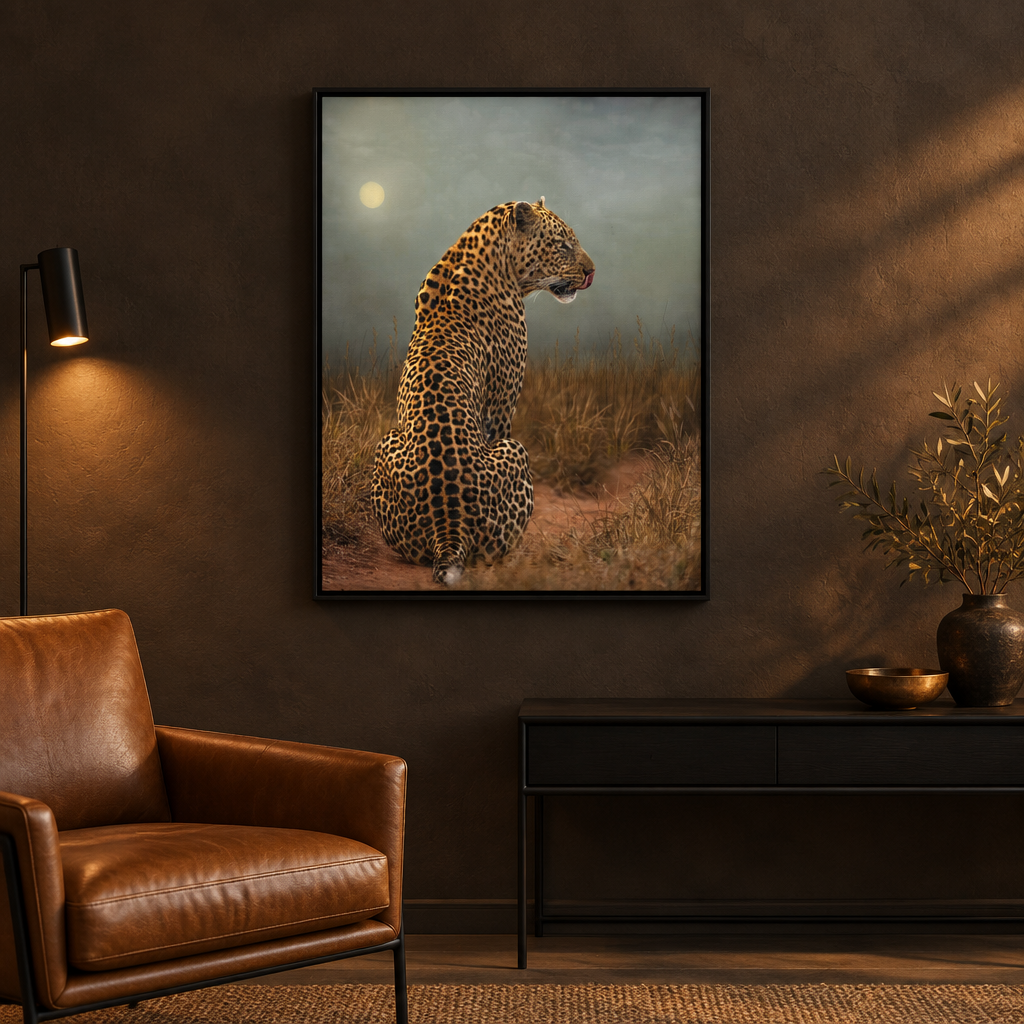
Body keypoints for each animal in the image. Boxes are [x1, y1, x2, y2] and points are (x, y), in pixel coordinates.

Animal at [371, 198, 595, 586]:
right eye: (562, 244)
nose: (592, 271)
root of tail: (449, 528)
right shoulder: (502, 404)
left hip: (385, 443)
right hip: (516, 451)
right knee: (497, 551)